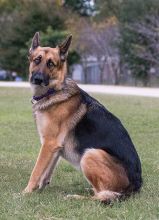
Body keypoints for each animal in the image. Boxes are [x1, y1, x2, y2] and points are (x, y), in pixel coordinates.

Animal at [23, 31, 142, 202]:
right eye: (37, 60)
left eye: (51, 64)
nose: (37, 79)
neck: (54, 91)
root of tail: (136, 184)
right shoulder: (54, 147)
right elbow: (46, 173)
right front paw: (38, 190)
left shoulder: (49, 144)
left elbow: (36, 171)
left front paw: (25, 193)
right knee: (103, 193)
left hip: (90, 154)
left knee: (100, 196)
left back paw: (75, 197)